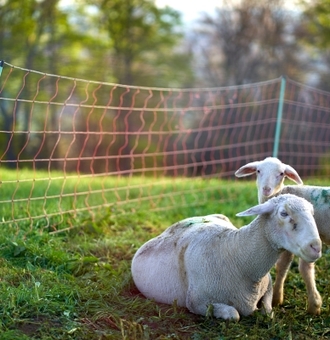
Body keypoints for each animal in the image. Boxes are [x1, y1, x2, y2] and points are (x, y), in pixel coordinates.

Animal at [130, 194, 320, 322]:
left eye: (313, 213)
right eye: (283, 213)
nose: (316, 247)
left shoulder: (268, 285)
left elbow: (268, 312)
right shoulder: (197, 302)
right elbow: (233, 314)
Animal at [235, 158, 324, 314]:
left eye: (281, 173)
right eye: (258, 171)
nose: (266, 189)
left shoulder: (292, 243)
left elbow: (285, 266)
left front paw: (277, 298)